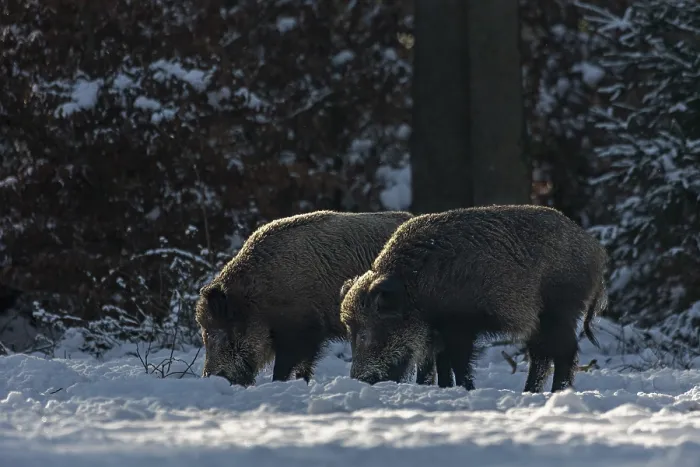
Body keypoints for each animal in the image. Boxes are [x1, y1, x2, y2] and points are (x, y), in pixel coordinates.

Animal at [340, 204, 608, 393]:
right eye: (350, 332)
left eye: (365, 333)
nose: (361, 380)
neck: (415, 287)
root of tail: (596, 251)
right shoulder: (437, 332)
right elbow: (441, 362)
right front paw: (446, 389)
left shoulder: (460, 324)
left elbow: (458, 361)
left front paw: (465, 389)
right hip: (540, 322)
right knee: (541, 355)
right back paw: (530, 393)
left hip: (560, 309)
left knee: (566, 352)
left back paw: (555, 393)